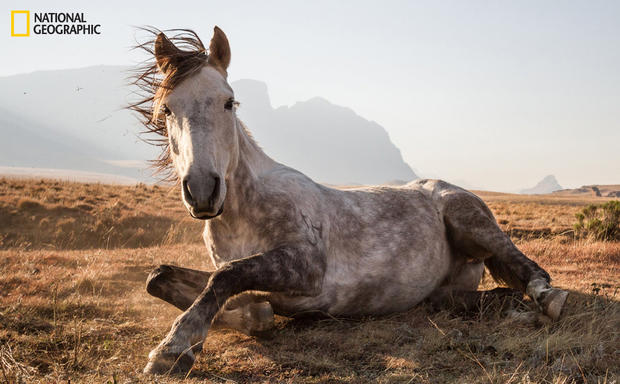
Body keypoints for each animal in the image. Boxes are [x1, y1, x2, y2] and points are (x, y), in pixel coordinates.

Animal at [130, 25, 568, 374]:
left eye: (228, 102)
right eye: (166, 109)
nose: (203, 190)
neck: (243, 211)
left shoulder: (306, 267)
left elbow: (226, 276)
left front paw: (173, 348)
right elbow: (161, 277)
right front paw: (252, 315)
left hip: (470, 220)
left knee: (526, 267)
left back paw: (546, 299)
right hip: (442, 290)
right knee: (468, 299)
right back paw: (509, 307)